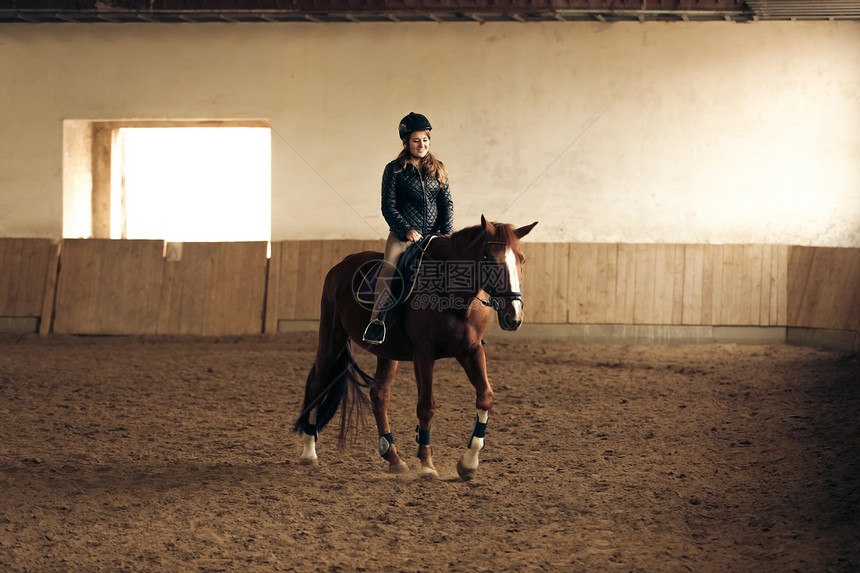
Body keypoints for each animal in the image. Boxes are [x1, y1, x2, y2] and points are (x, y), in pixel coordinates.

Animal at [296, 214, 536, 478]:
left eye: (522, 259)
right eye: (489, 259)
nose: (513, 317)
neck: (451, 292)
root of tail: (342, 264)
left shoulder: (471, 350)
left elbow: (485, 397)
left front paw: (469, 463)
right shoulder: (424, 353)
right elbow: (426, 406)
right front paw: (427, 466)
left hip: (387, 351)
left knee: (379, 394)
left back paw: (393, 458)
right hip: (332, 338)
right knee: (319, 383)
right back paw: (309, 453)